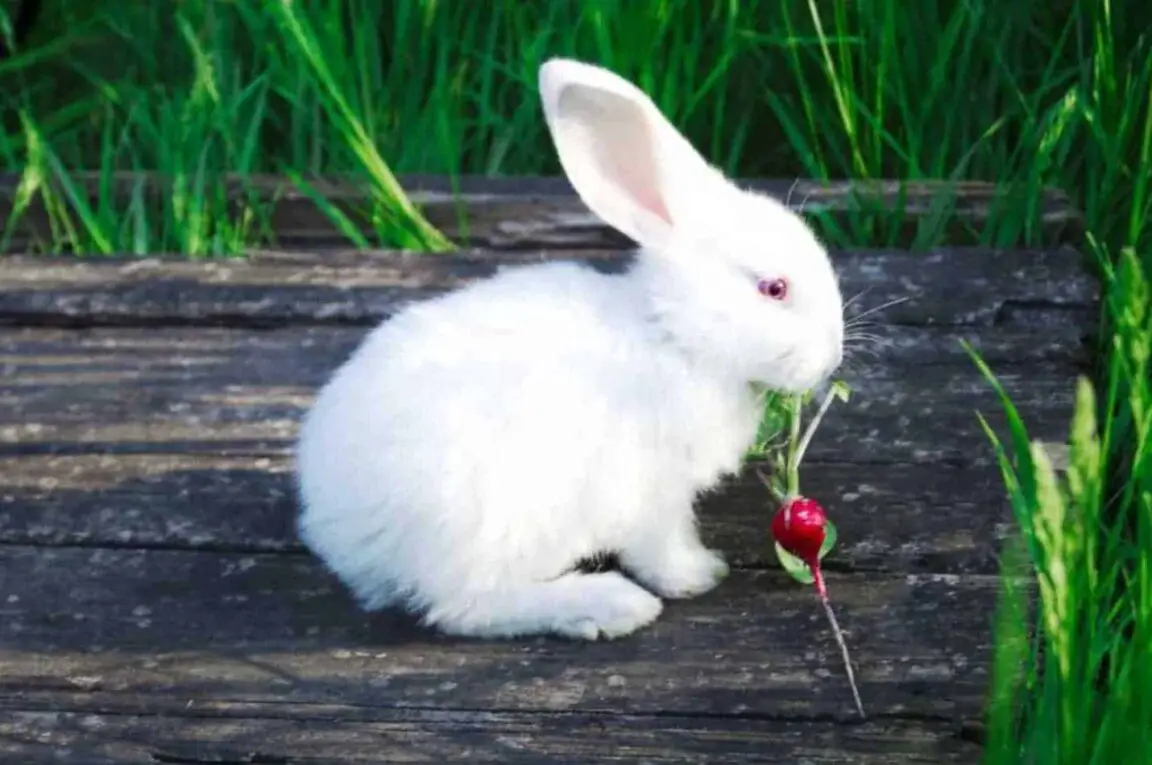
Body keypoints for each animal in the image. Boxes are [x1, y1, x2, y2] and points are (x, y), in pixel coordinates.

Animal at [294, 58, 845, 641]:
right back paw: (608, 606)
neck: (675, 335)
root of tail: (335, 525)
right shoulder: (652, 497)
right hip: (491, 524)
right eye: (774, 288)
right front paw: (700, 575)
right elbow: (662, 548)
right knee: (465, 607)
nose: (833, 356)